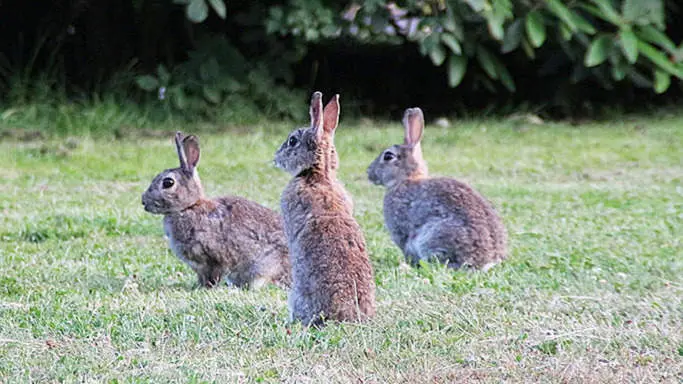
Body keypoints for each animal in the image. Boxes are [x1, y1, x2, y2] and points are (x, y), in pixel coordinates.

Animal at [142, 131, 292, 288]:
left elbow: (213, 274)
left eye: (168, 183)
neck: (189, 206)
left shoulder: (212, 257)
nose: (143, 201)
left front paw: (205, 288)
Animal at [368, 107, 508, 270]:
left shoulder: (401, 231)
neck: (406, 179)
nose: (369, 173)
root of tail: (487, 262)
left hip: (434, 236)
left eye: (388, 156)